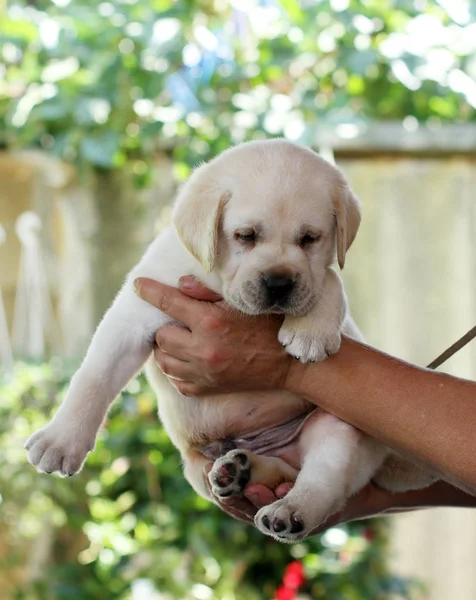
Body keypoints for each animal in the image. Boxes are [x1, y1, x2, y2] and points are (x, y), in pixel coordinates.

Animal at [26, 141, 436, 544]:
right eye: (245, 236)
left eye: (309, 239)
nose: (279, 283)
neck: (219, 285)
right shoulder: (134, 314)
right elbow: (93, 378)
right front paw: (61, 441)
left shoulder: (318, 276)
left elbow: (329, 279)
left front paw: (310, 330)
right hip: (198, 471)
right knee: (282, 472)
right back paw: (240, 472)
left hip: (338, 424)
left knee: (323, 480)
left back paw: (289, 511)